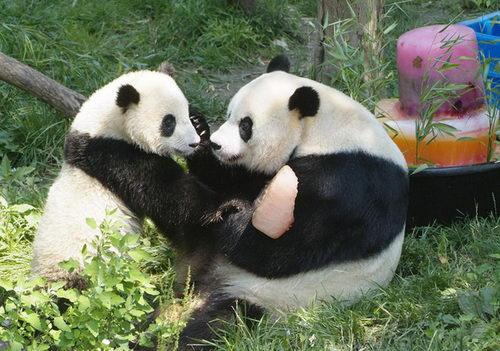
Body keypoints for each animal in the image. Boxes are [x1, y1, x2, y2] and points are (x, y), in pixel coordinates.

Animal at [30, 70, 199, 288]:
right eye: (169, 122)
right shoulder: (114, 155)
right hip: (79, 265)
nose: (194, 143)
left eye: (187, 114)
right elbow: (169, 197)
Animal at [62, 56, 408, 350]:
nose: (216, 143)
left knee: (216, 324)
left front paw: (236, 217)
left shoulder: (348, 186)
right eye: (228, 115)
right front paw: (200, 130)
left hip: (274, 297)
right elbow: (230, 182)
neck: (328, 129)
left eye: (246, 125)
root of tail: (210, 286)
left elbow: (282, 249)